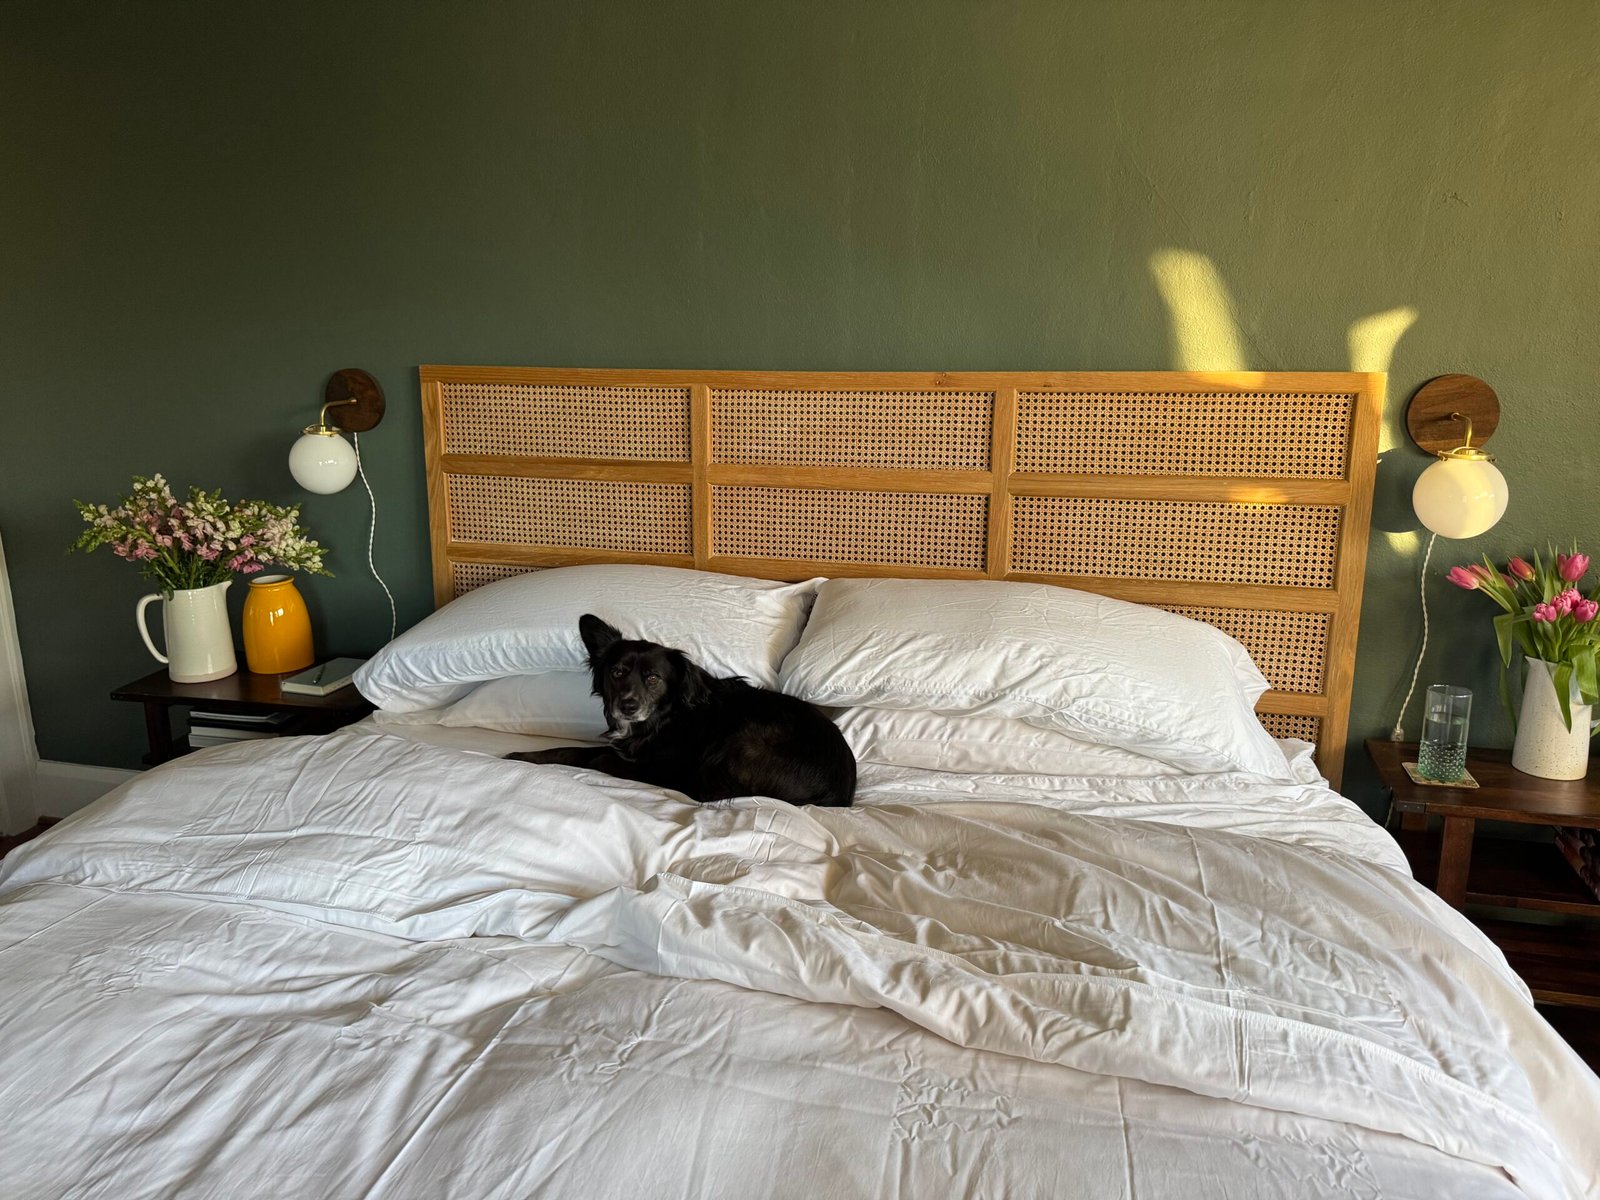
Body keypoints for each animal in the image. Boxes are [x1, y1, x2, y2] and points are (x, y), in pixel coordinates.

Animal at [505, 620, 857, 809]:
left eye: (653, 678)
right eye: (617, 673)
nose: (627, 706)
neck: (662, 719)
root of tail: (840, 792)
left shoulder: (660, 767)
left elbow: (599, 757)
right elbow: (573, 749)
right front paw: (523, 756)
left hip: (746, 741)